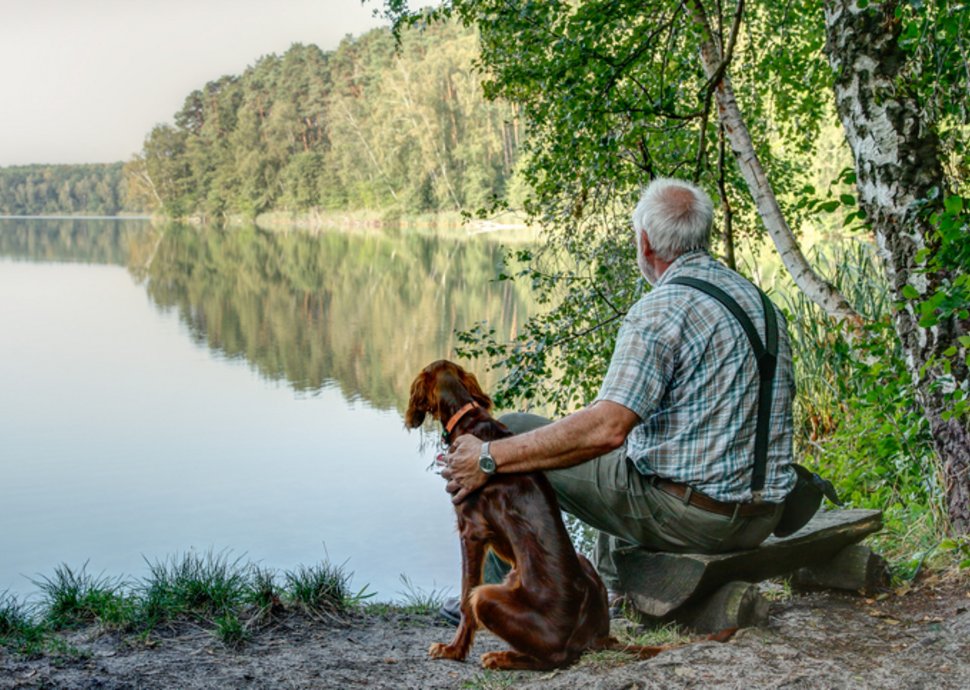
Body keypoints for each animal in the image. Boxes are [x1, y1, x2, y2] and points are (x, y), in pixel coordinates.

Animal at [402, 360, 728, 668]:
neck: (467, 418)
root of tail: (595, 638)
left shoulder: (472, 532)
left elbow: (466, 594)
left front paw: (453, 650)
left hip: (488, 597)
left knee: (554, 657)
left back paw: (502, 657)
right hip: (581, 563)